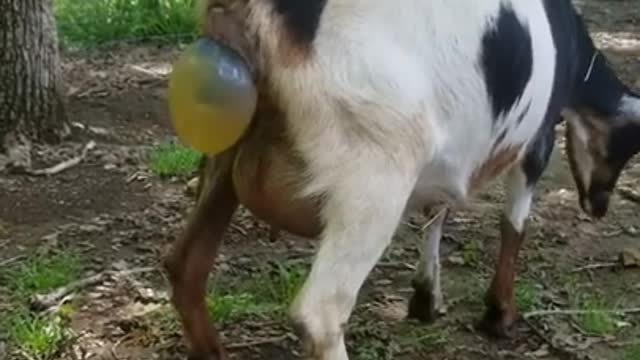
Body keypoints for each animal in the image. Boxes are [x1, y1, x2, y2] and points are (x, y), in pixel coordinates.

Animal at [164, 1, 640, 358]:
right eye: (628, 146)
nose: (598, 206)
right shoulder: (536, 139)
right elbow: (514, 224)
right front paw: (499, 314)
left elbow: (438, 211)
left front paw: (426, 299)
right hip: (375, 173)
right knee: (321, 313)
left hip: (226, 145)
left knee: (186, 264)